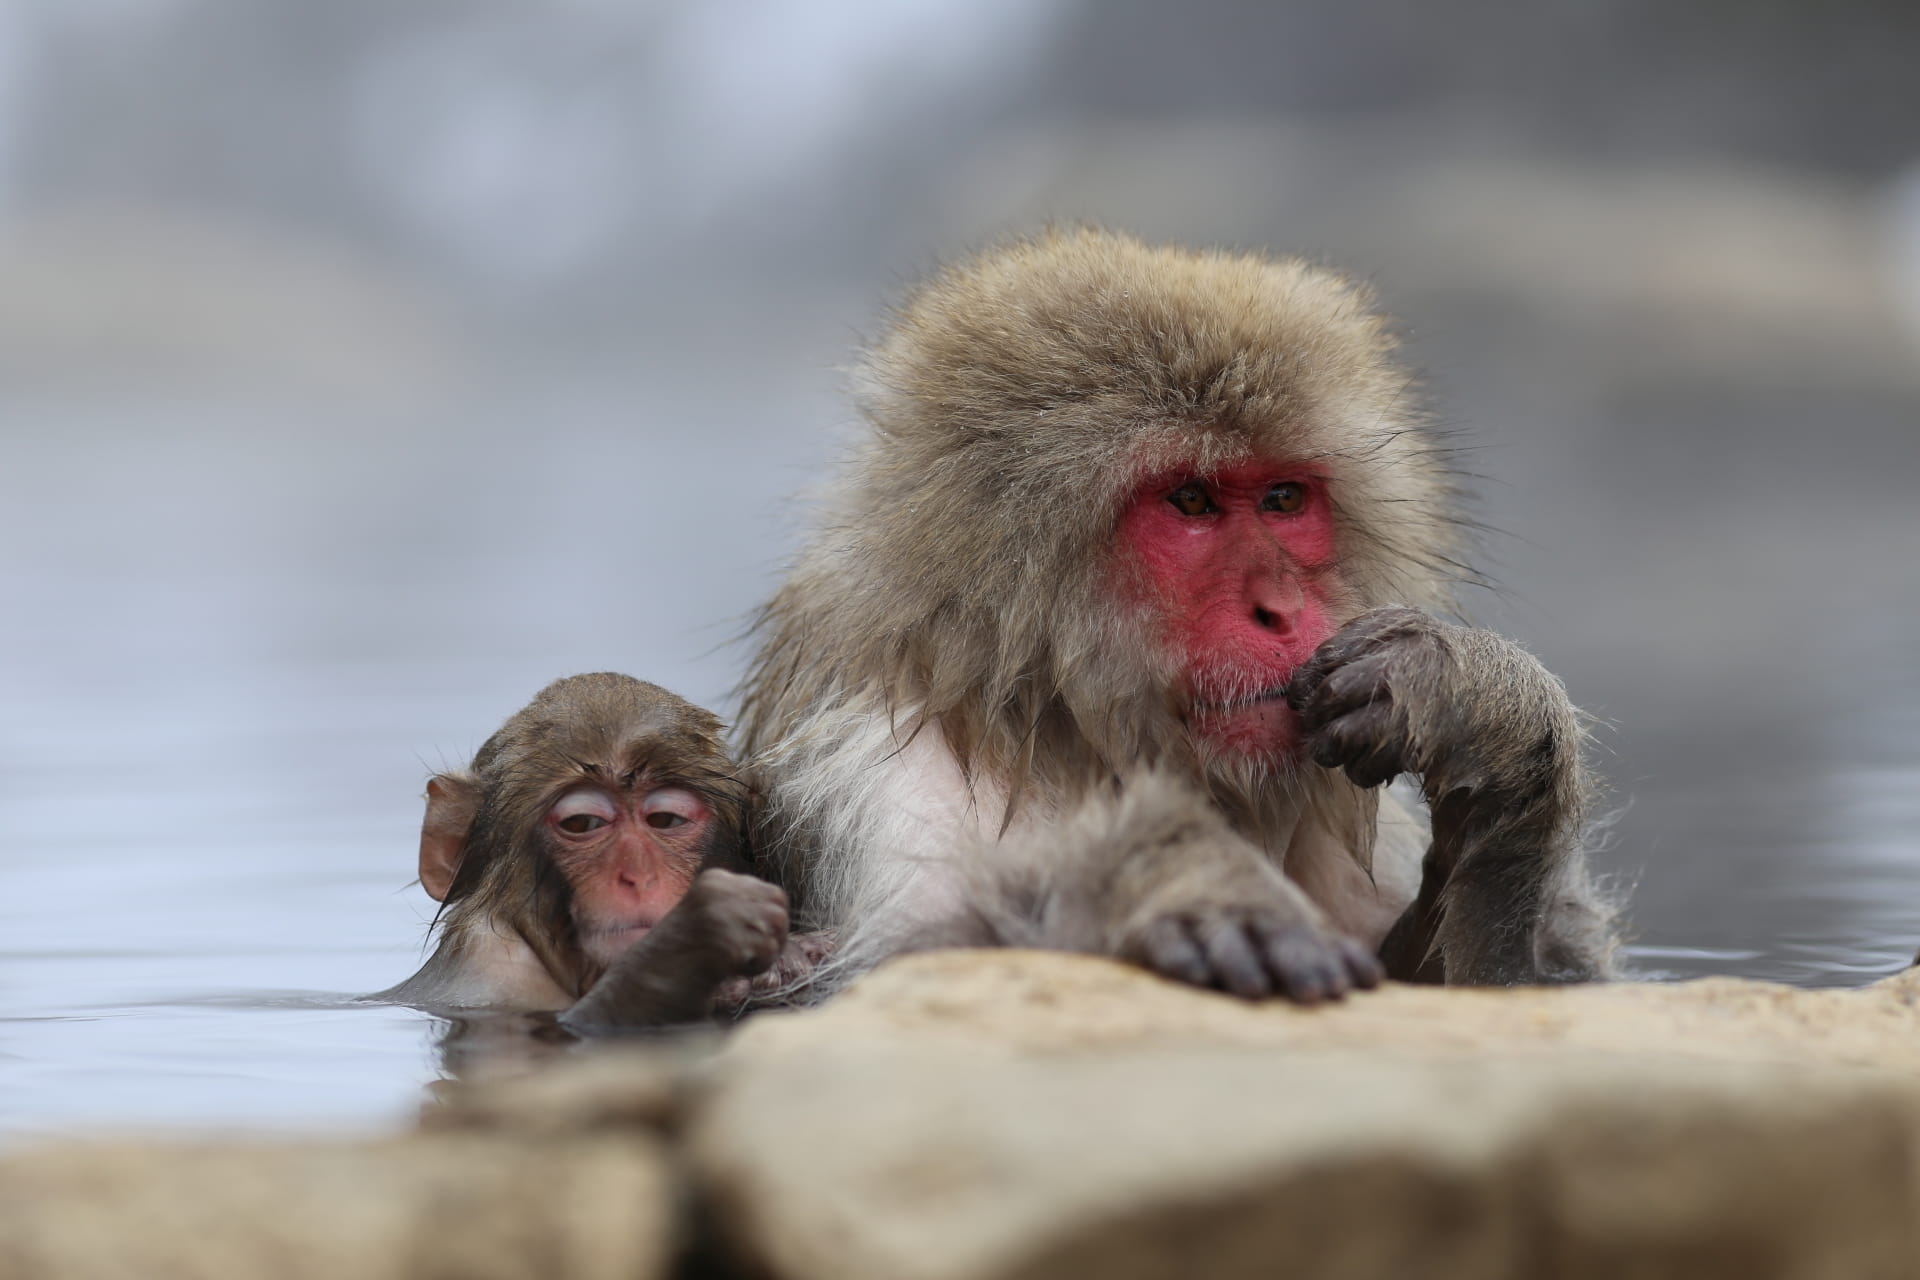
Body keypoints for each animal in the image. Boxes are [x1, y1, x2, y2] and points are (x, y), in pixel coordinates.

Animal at [738, 228, 1618, 1004]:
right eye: (1191, 501)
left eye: (1283, 498)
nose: (1279, 610)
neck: (1060, 725)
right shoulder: (898, 783)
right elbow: (917, 971)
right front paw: (1173, 879)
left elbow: (1514, 985)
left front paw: (1484, 716)